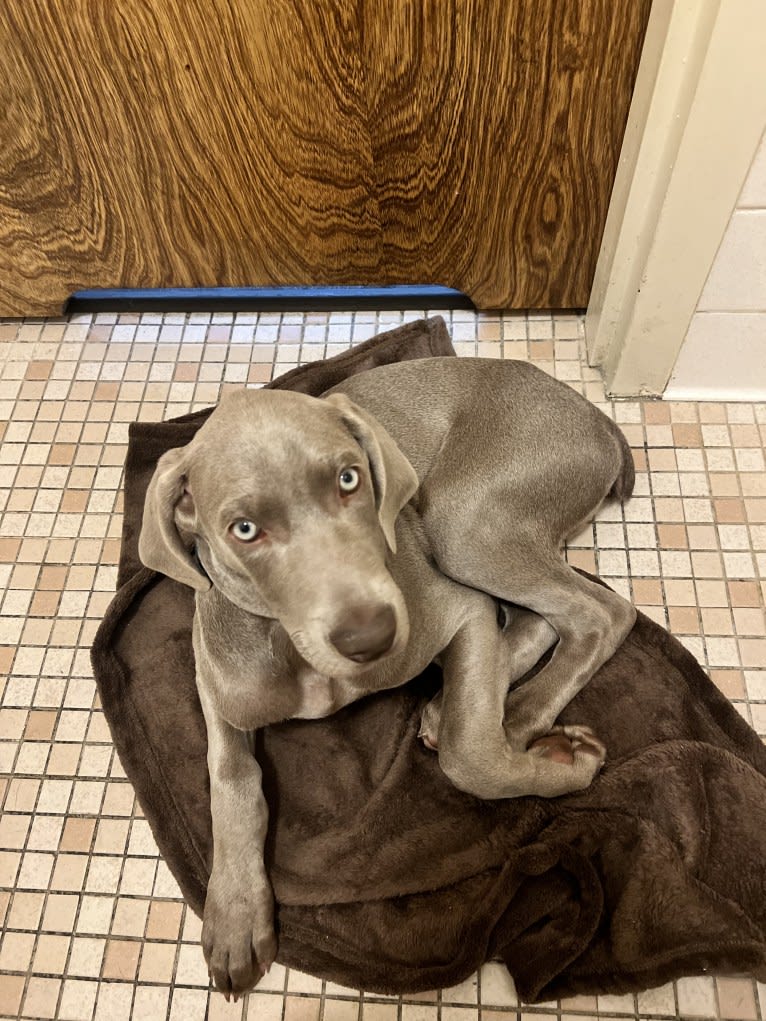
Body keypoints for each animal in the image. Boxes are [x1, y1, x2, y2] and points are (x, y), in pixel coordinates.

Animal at [139, 357, 641, 996]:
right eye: (244, 529)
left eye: (350, 479)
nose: (371, 636)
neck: (296, 651)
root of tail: (596, 417)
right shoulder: (219, 680)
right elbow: (232, 778)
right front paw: (234, 916)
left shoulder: (451, 609)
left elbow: (470, 757)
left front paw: (562, 762)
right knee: (538, 617)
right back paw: (473, 700)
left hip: (466, 520)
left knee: (598, 612)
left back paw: (520, 714)